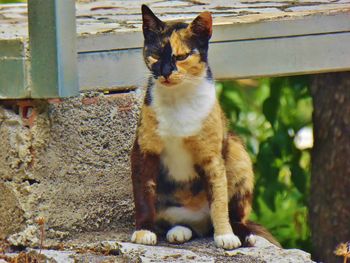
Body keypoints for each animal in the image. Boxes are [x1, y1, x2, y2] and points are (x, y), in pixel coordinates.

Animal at [129, 5, 278, 251]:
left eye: (181, 56)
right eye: (156, 54)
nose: (165, 72)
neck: (178, 101)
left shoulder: (212, 157)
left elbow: (218, 199)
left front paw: (225, 236)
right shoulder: (143, 149)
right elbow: (143, 193)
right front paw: (144, 231)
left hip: (237, 151)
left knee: (234, 215)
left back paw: (243, 234)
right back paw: (179, 231)